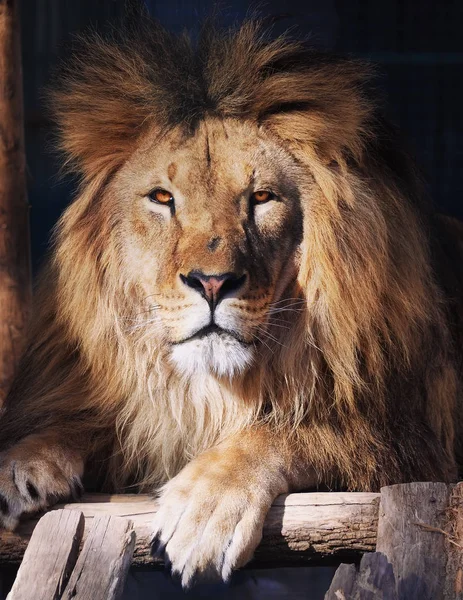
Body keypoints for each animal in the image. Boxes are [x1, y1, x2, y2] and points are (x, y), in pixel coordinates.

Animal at [0, 16, 463, 588]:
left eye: (261, 198)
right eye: (162, 198)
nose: (212, 283)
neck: (212, 387)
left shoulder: (419, 444)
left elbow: (291, 430)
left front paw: (206, 508)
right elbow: (100, 419)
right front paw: (23, 461)